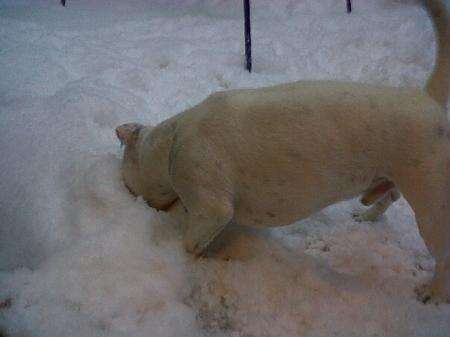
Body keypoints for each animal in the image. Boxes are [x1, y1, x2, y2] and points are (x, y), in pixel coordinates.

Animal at [117, 0, 450, 302]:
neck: (171, 143)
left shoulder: (210, 207)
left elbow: (192, 243)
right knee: (390, 195)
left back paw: (433, 294)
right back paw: (368, 214)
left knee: (443, 254)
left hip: (432, 206)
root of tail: (427, 98)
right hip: (400, 179)